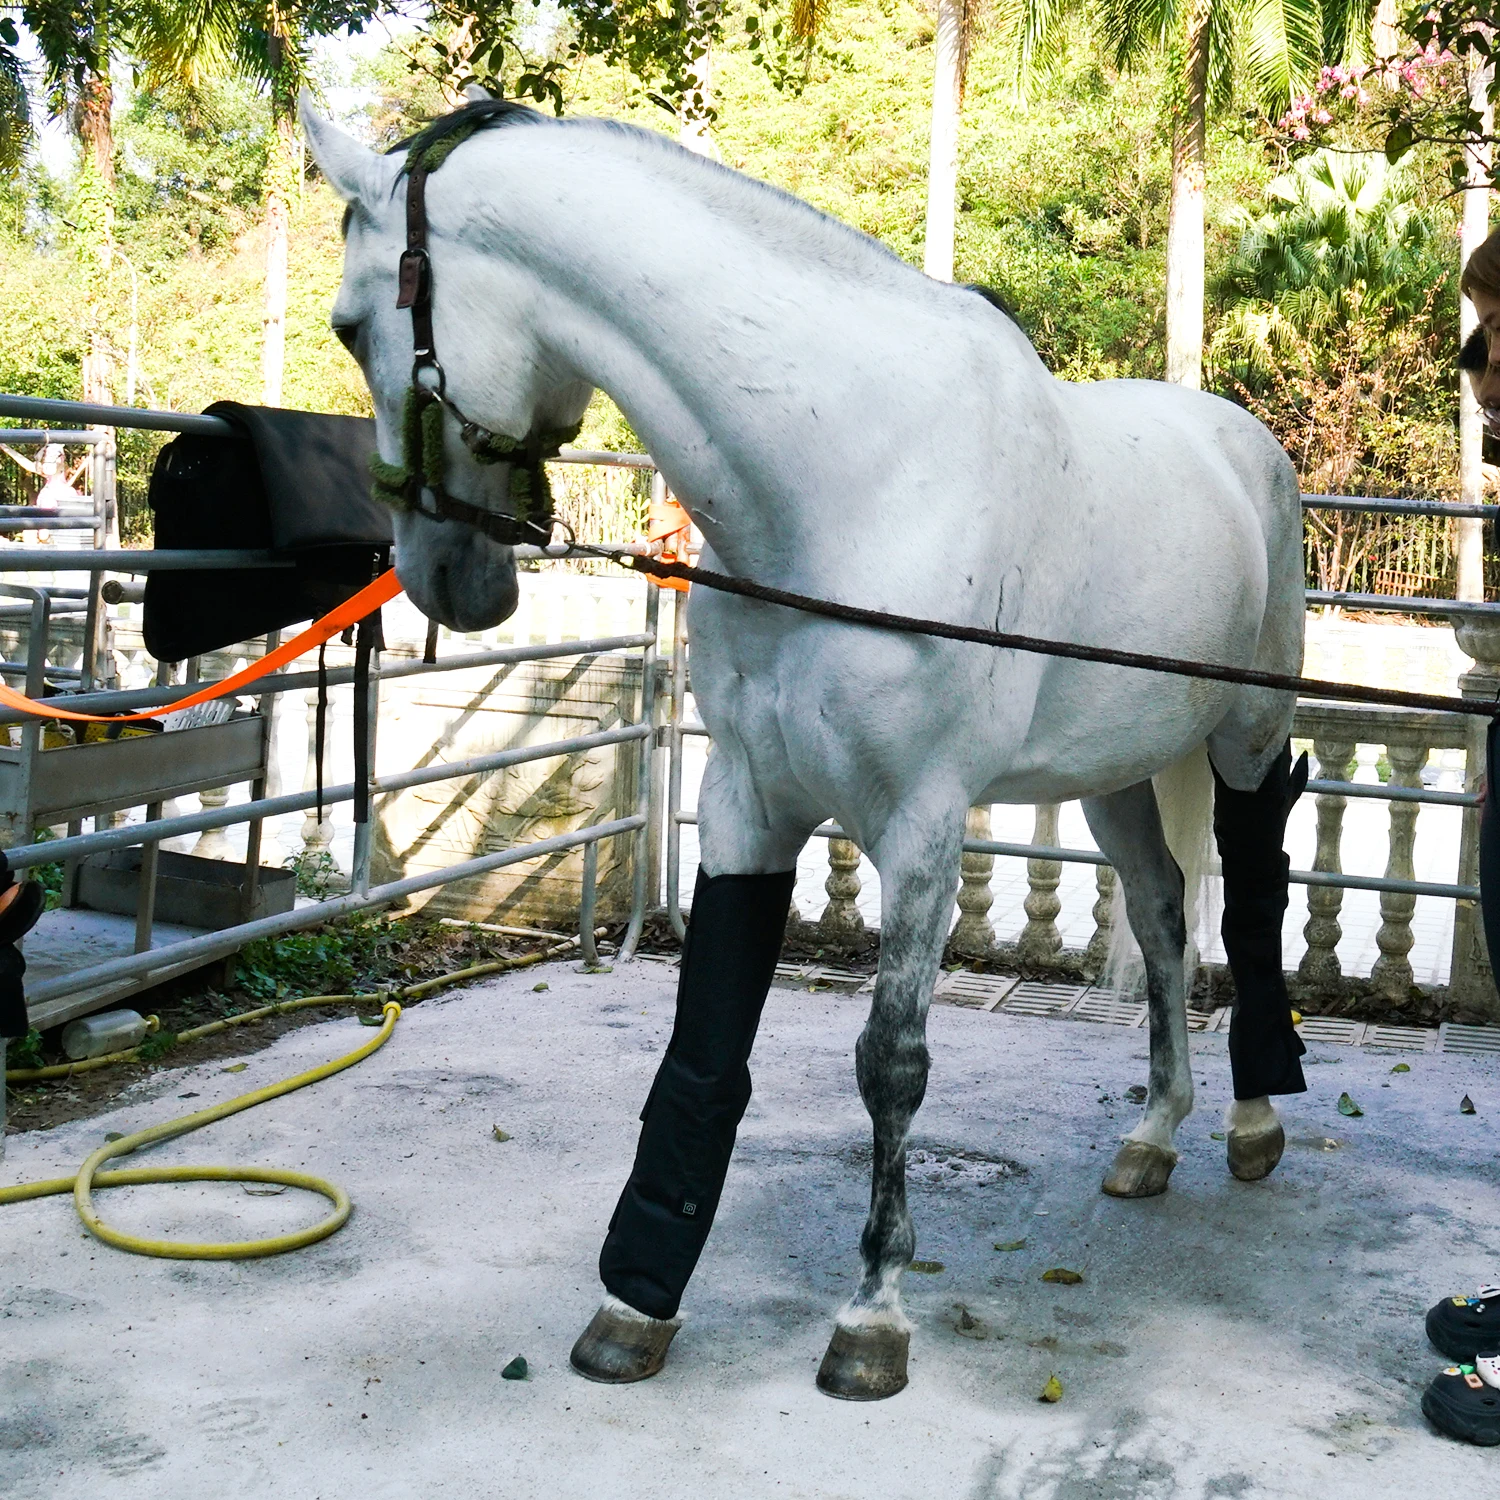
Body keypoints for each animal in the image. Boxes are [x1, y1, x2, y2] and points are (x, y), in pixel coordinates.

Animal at [301, 95, 1310, 1401]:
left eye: (350, 322)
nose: (442, 577)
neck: (849, 478)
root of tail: (1248, 447)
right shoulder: (748, 799)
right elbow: (707, 1031)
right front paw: (637, 1298)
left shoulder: (922, 825)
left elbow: (892, 1063)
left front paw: (872, 1316)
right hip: (1116, 775)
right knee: (1161, 911)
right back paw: (1152, 1134)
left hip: (1246, 737)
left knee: (1252, 900)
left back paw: (1253, 1121)